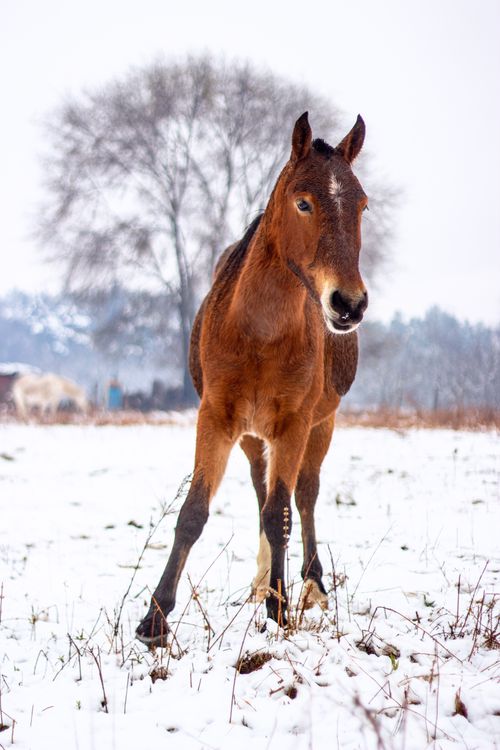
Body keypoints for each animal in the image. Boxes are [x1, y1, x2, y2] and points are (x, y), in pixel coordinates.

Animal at [136, 112, 369, 646]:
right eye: (303, 202)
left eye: (363, 205)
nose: (348, 304)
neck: (260, 332)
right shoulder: (217, 419)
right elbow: (194, 513)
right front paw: (155, 617)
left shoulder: (294, 424)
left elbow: (282, 514)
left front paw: (279, 610)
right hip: (250, 437)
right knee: (263, 491)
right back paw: (262, 580)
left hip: (321, 425)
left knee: (302, 496)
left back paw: (309, 584)